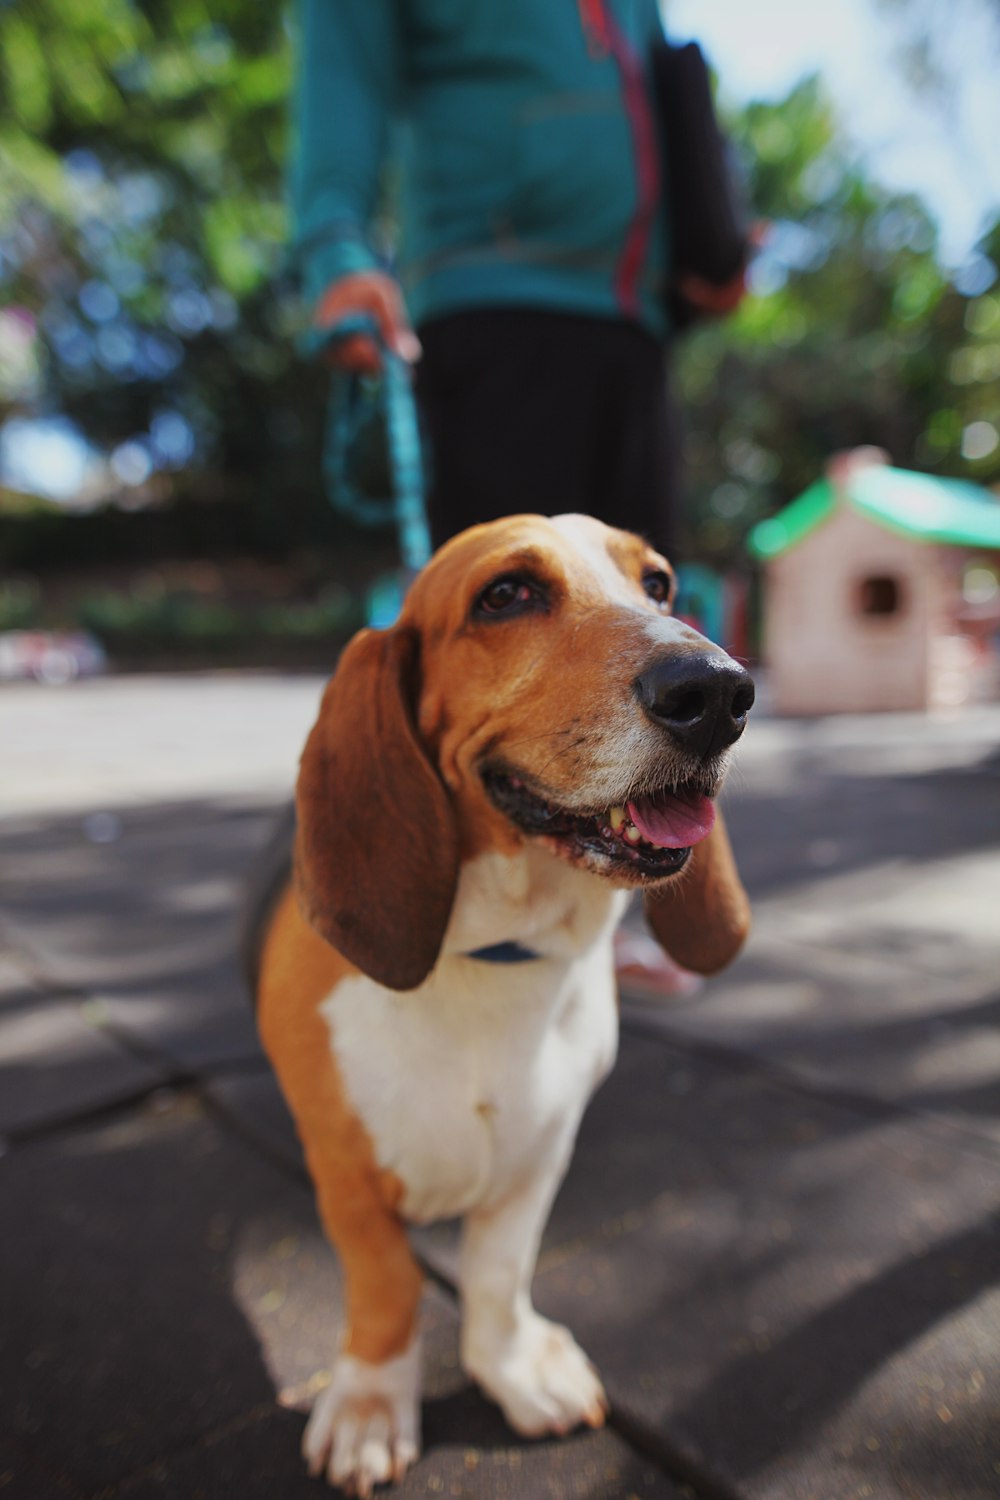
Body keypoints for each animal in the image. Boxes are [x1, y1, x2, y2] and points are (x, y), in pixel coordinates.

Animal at [248, 513, 749, 1488]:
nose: (719, 691)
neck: (492, 956)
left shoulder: (540, 1153)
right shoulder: (348, 1177)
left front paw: (512, 1370)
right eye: (506, 595)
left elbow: (496, 1273)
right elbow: (390, 1284)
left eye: (660, 585)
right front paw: (371, 1404)